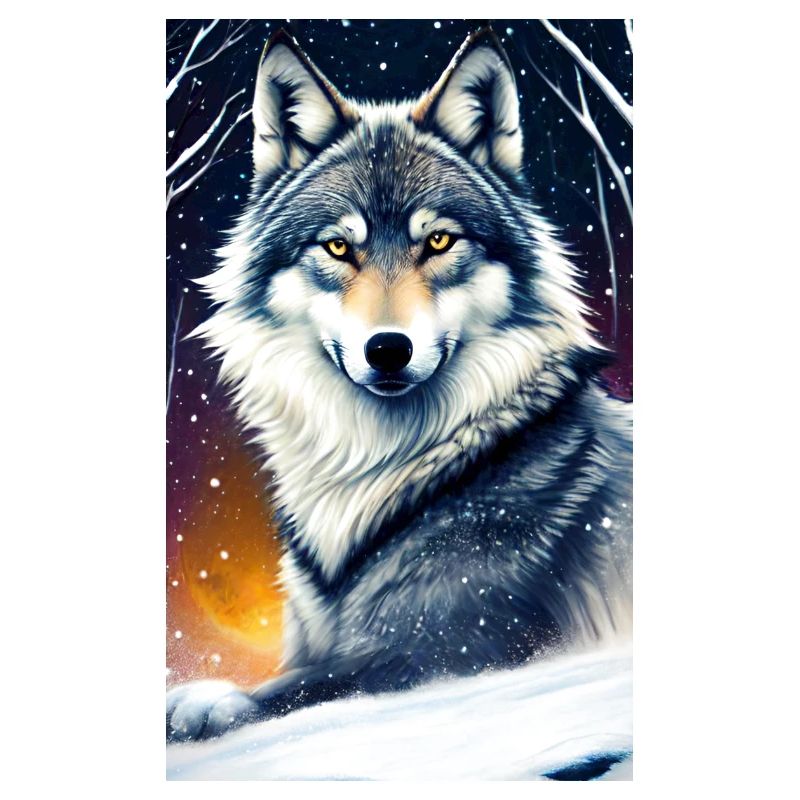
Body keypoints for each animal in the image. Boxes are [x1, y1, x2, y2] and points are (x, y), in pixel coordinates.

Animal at [167, 26, 632, 743]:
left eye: (438, 241)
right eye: (337, 247)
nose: (388, 349)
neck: (385, 470)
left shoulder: (452, 646)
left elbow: (305, 687)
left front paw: (206, 702)